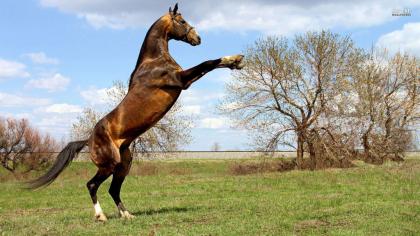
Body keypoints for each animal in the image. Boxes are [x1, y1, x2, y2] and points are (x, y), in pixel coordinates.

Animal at [29, 3, 244, 221]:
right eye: (182, 21)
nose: (198, 39)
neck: (154, 62)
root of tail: (88, 140)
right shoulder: (181, 80)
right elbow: (207, 63)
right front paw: (235, 59)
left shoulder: (186, 81)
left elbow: (209, 66)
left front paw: (236, 62)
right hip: (109, 164)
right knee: (92, 185)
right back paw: (101, 216)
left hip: (123, 165)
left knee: (113, 189)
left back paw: (127, 215)